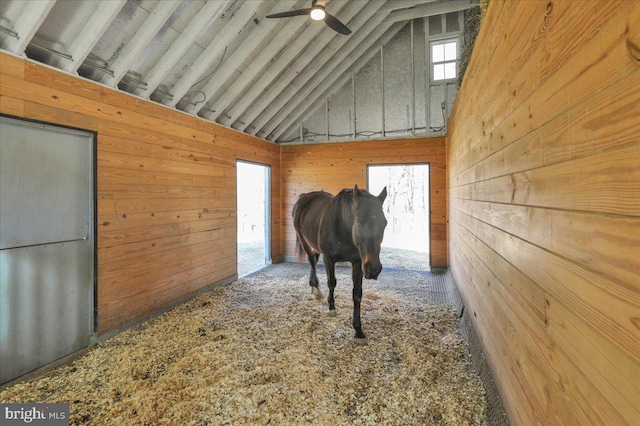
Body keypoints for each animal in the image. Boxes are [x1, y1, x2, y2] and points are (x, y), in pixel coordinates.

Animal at [292, 185, 388, 344]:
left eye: (384, 223)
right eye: (359, 222)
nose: (373, 269)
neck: (343, 227)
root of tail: (303, 197)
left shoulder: (357, 263)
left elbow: (357, 293)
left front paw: (358, 330)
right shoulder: (329, 259)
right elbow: (332, 283)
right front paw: (331, 308)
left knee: (314, 259)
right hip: (303, 239)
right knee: (312, 260)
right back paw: (315, 286)